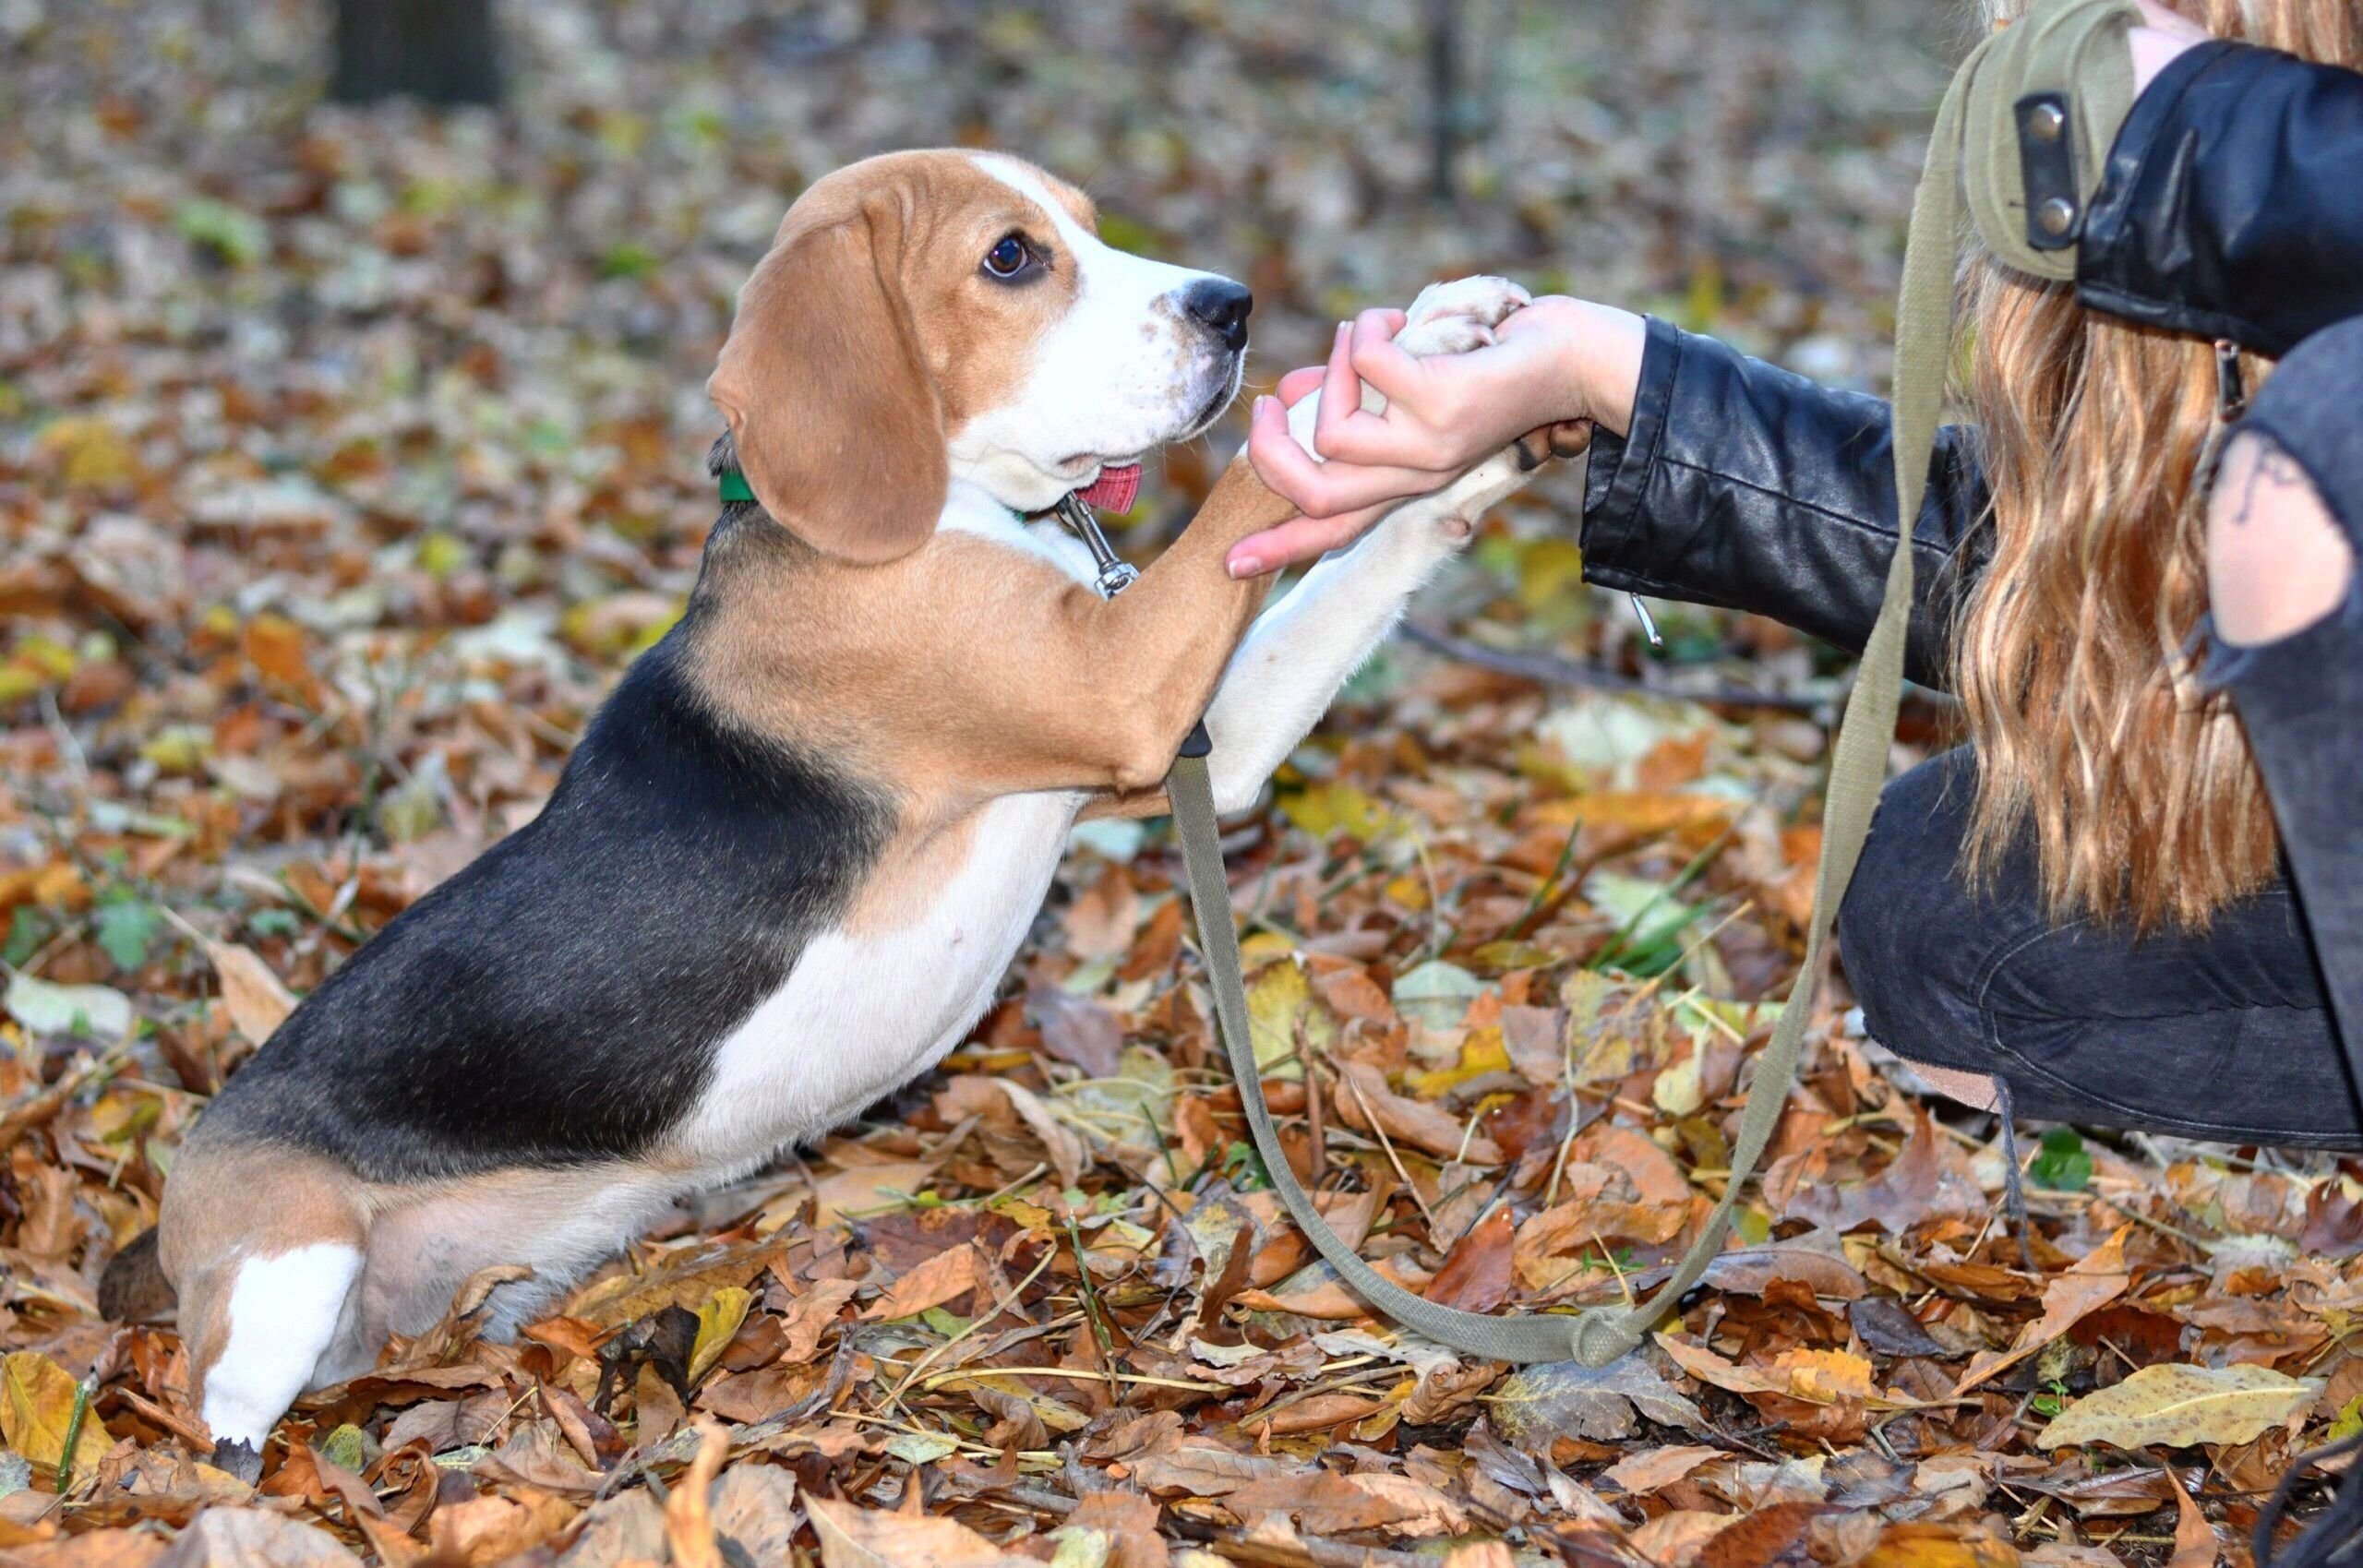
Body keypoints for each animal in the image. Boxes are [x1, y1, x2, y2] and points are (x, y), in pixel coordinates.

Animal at [106, 144, 1568, 1473]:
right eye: (1011, 257)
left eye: (1088, 222)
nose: (1233, 307)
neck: (938, 513)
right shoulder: (1124, 681)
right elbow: (1263, 476)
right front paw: (1411, 354)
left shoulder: (1209, 735)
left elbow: (1359, 565)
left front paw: (1478, 435)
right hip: (284, 1273)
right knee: (221, 1427)